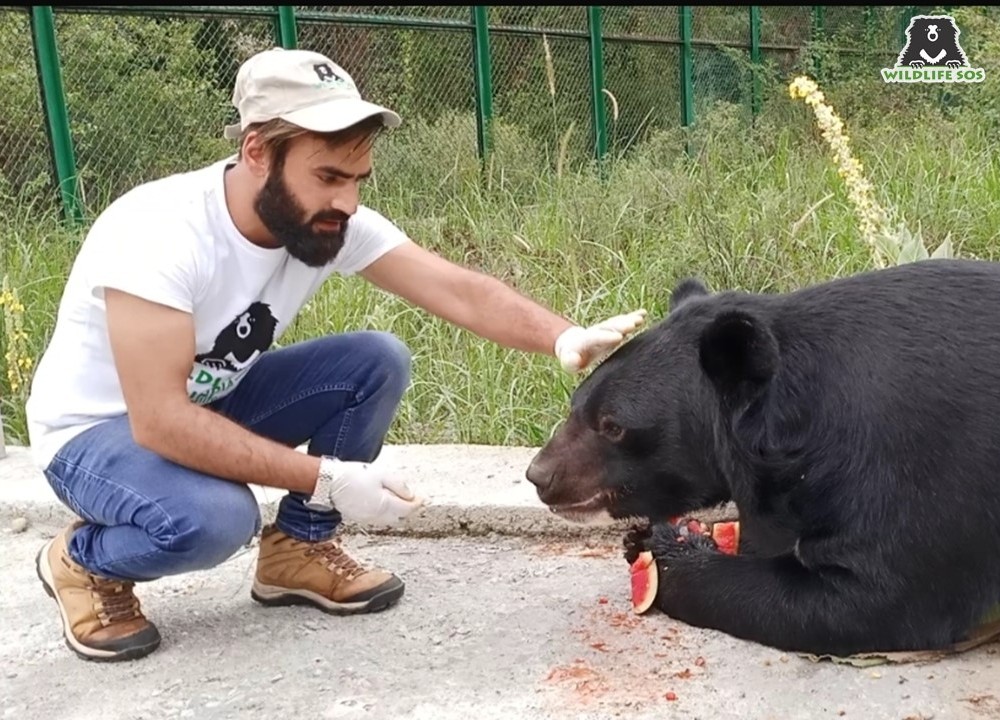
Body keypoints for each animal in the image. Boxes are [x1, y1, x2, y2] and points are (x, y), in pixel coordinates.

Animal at [524, 258, 1000, 660]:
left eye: (613, 426)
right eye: (575, 405)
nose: (539, 475)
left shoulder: (914, 462)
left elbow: (874, 596)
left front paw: (666, 550)